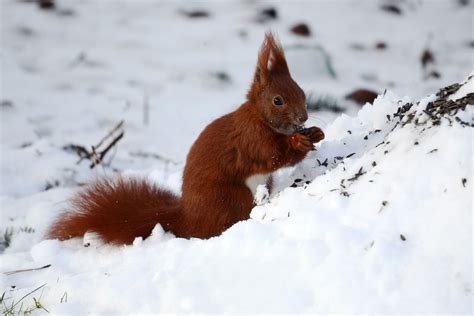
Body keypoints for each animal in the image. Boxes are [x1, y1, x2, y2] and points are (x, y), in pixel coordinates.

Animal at [46, 32, 324, 244]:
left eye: (301, 91)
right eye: (278, 100)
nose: (302, 117)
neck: (259, 116)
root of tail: (188, 219)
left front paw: (315, 132)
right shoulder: (250, 138)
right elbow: (272, 154)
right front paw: (299, 142)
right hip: (231, 197)